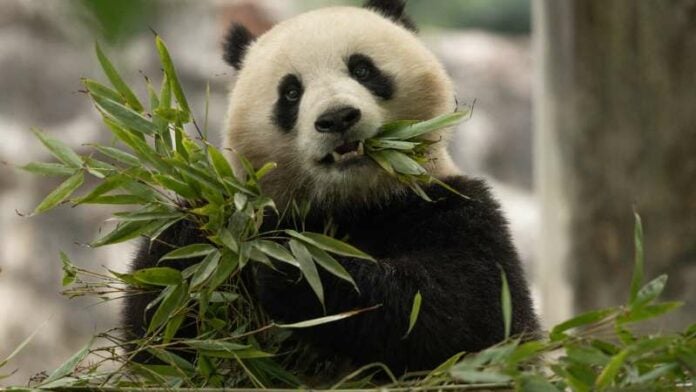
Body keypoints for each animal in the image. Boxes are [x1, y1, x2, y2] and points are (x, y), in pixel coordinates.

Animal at [123, 0, 540, 380]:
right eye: (291, 92)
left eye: (362, 69)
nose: (337, 118)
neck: (352, 202)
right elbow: (161, 339)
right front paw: (196, 235)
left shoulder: (455, 207)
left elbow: (471, 313)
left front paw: (294, 266)